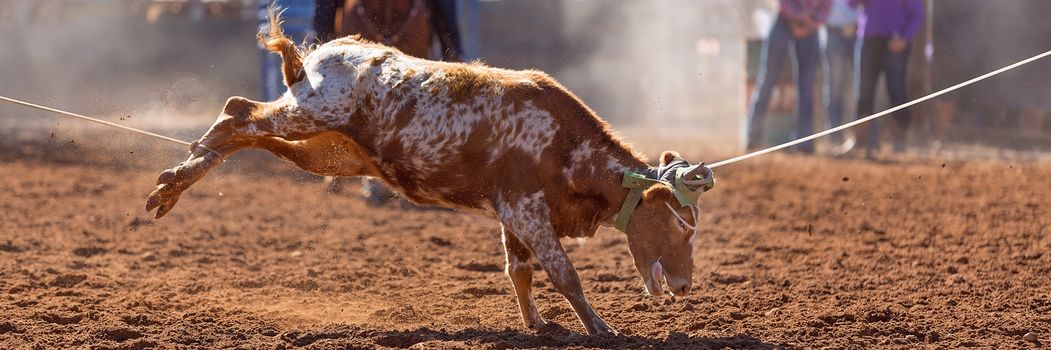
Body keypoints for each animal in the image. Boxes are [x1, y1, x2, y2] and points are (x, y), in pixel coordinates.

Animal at [146, 11, 706, 336]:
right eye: (680, 224)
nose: (684, 287)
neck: (564, 146)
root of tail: (322, 53)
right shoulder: (526, 209)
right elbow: (563, 272)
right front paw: (599, 328)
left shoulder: (512, 213)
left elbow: (519, 270)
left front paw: (537, 323)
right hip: (311, 113)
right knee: (237, 112)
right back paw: (172, 184)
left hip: (330, 152)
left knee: (250, 136)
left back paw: (176, 181)